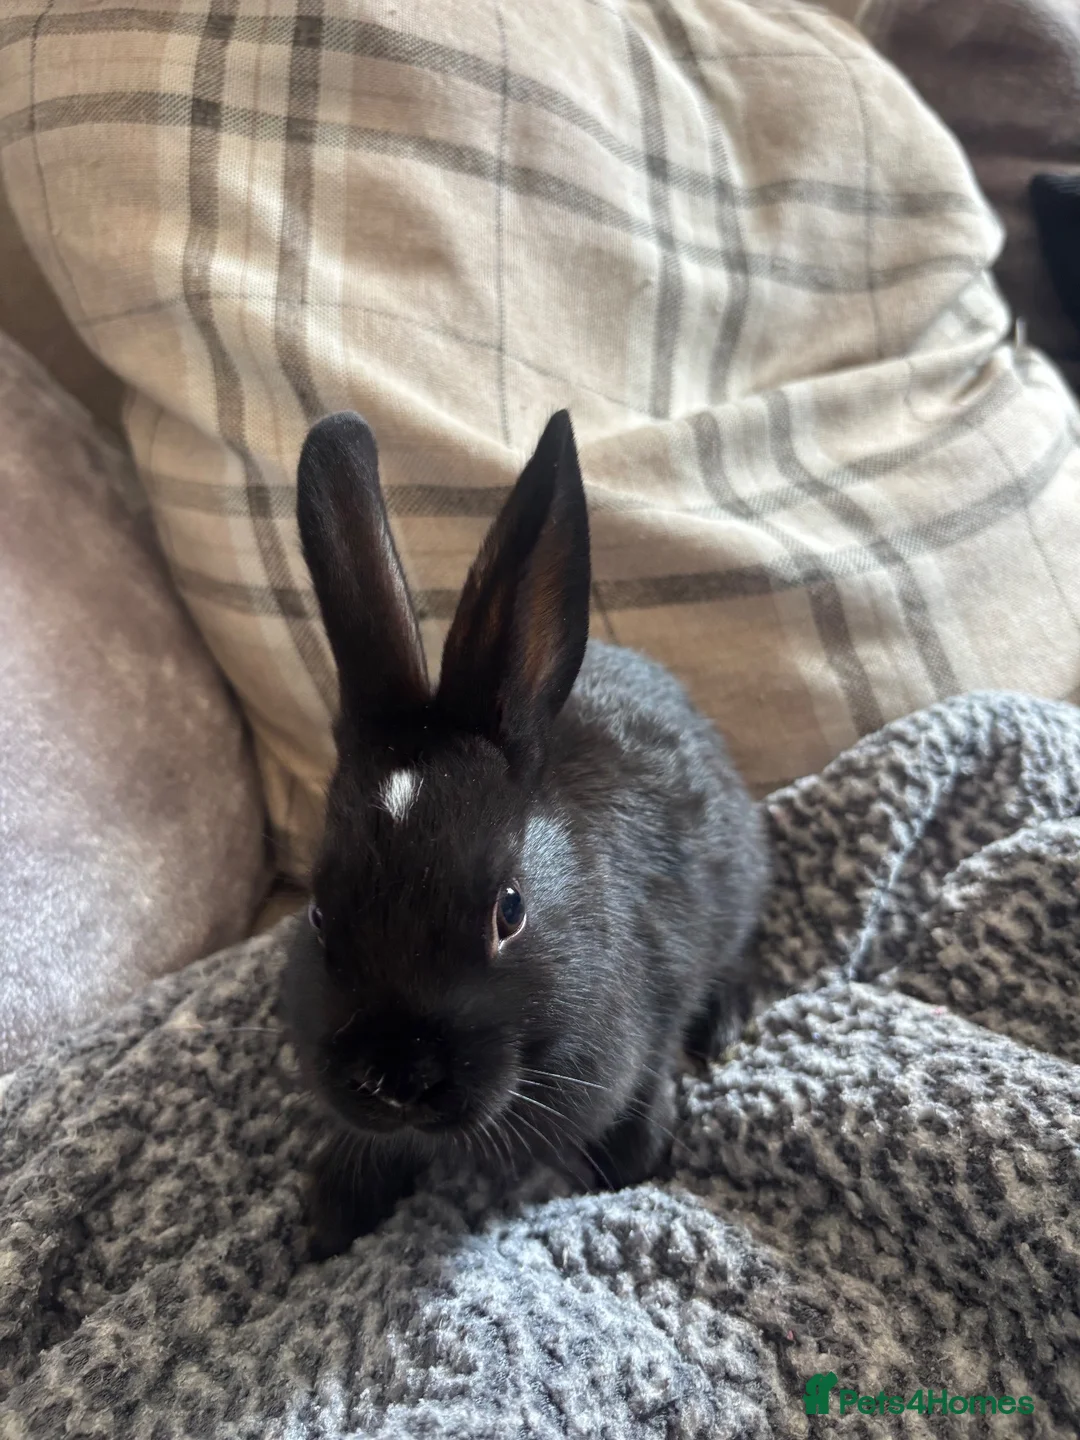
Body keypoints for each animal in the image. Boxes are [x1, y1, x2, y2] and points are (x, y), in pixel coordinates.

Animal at [283, 408, 769, 1259]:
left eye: (509, 911)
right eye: (316, 913)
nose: (396, 1080)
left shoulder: (641, 1042)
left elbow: (640, 1104)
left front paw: (633, 1166)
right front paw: (331, 1220)